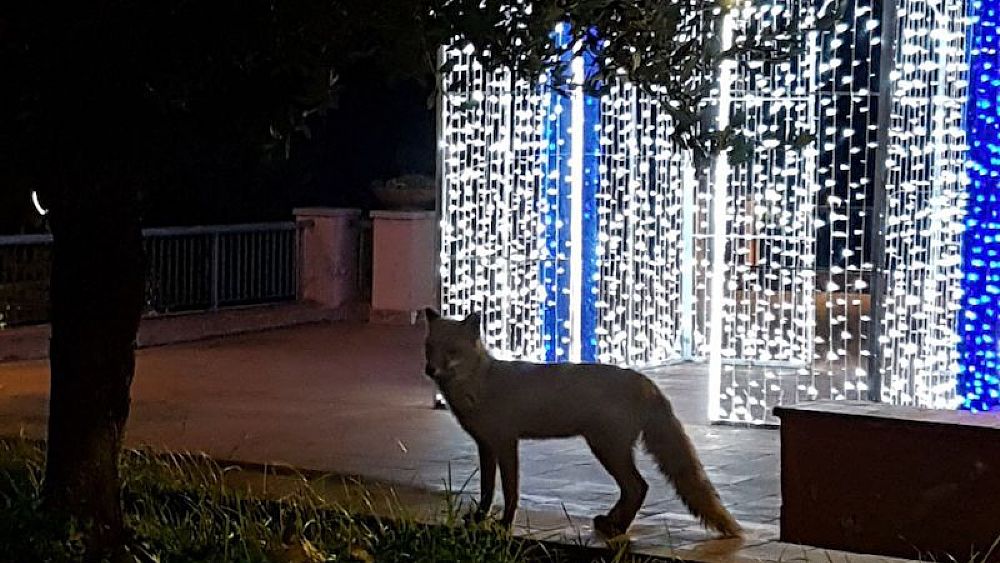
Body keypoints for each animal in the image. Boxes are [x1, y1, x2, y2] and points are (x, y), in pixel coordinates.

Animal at [422, 308, 741, 539]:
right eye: (429, 347)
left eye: (451, 351)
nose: (429, 369)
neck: (480, 386)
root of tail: (645, 382)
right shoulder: (486, 446)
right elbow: (487, 490)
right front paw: (478, 519)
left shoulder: (506, 443)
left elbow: (511, 491)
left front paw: (504, 526)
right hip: (608, 449)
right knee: (634, 489)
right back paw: (612, 524)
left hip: (606, 448)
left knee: (639, 487)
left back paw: (617, 529)